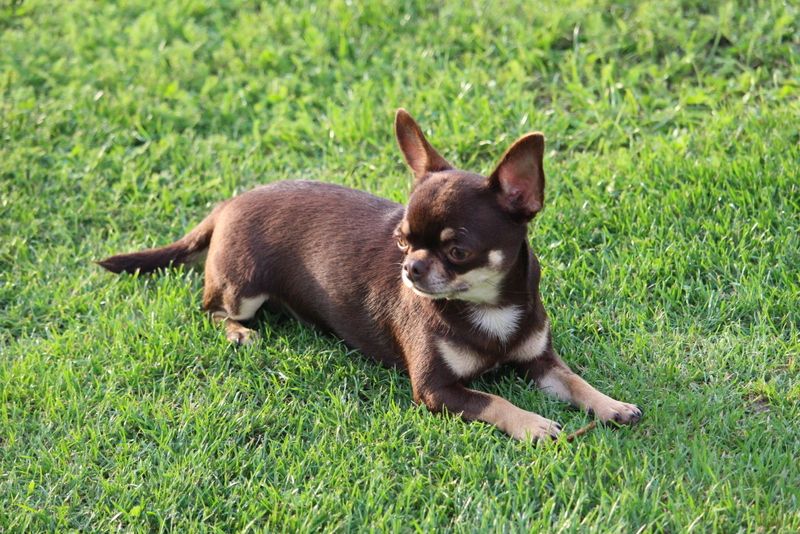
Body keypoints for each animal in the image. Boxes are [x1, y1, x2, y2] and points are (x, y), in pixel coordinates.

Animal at [100, 111, 640, 442]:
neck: (488, 309)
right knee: (210, 308)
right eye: (401, 240)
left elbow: (574, 381)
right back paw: (238, 333)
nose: (410, 267)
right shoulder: (436, 390)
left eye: (457, 251)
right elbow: (493, 399)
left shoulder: (540, 362)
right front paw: (533, 424)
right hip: (243, 287)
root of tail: (227, 205)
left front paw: (611, 404)